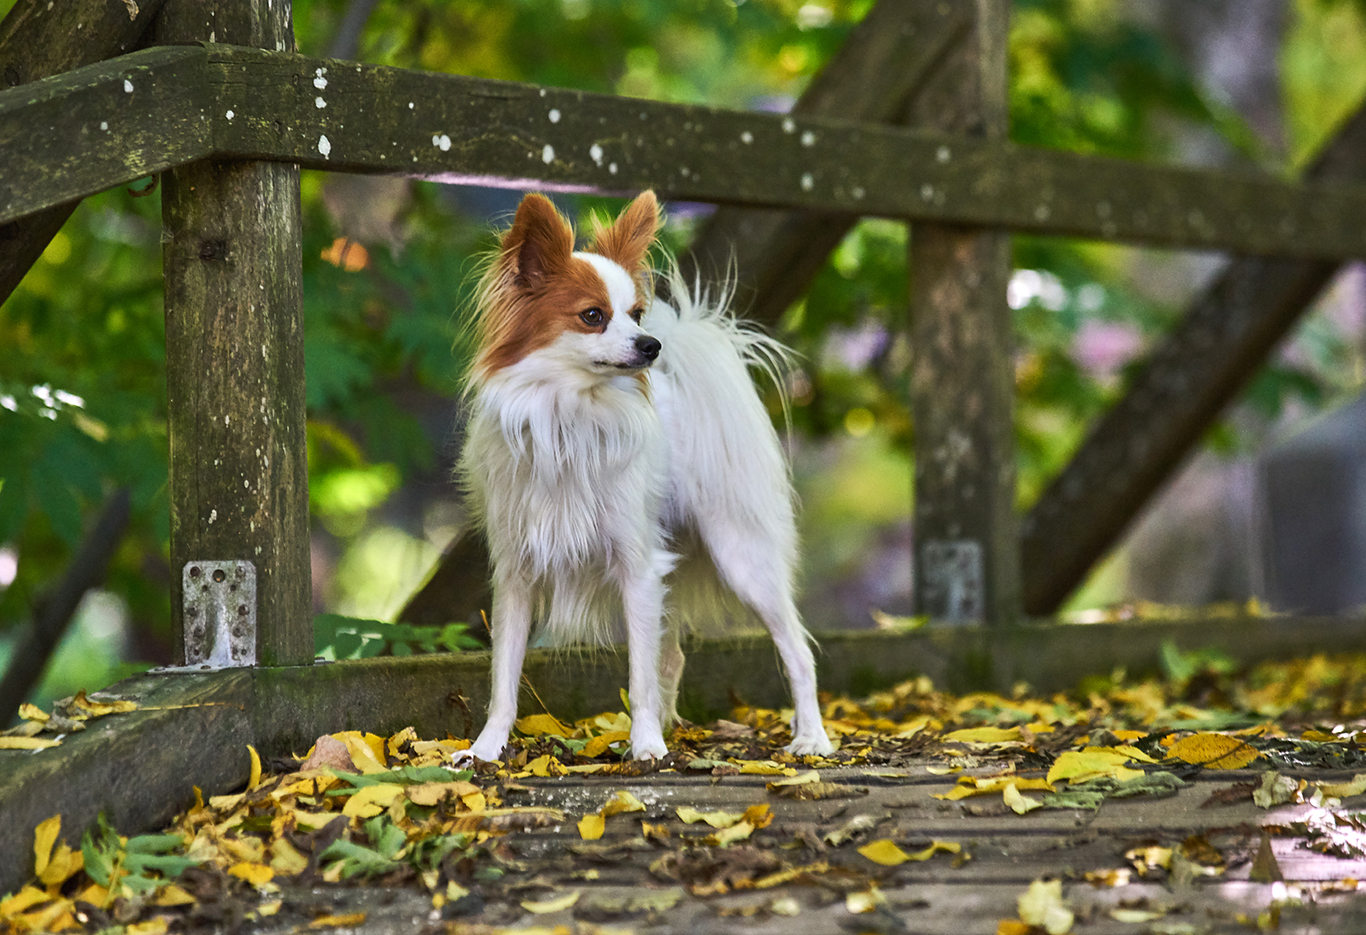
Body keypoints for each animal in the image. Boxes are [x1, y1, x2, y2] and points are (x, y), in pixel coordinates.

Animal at [456, 190, 830, 760]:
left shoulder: (638, 568)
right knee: (671, 656)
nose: (652, 344)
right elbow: (504, 677)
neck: (571, 418)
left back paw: (811, 737)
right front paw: (485, 750)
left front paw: (647, 745)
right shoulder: (517, 575)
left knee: (796, 648)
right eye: (593, 316)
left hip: (745, 558)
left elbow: (639, 676)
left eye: (635, 315)